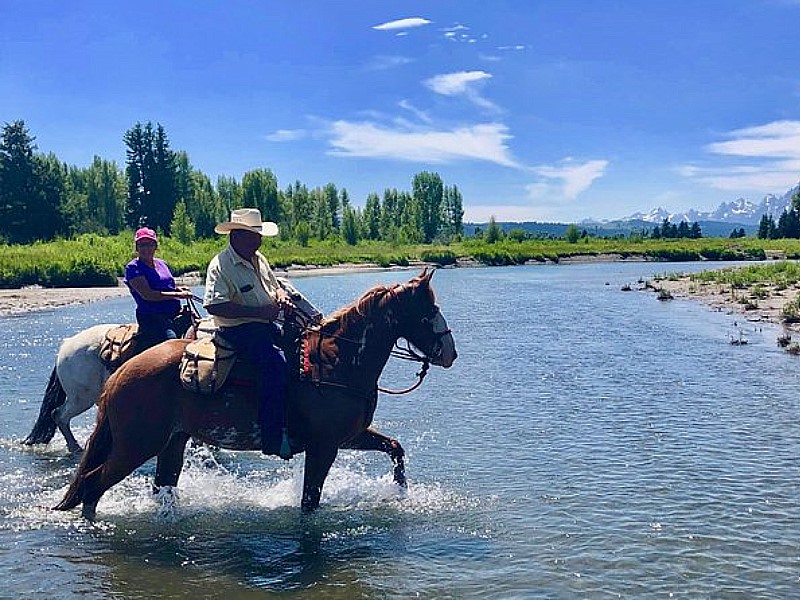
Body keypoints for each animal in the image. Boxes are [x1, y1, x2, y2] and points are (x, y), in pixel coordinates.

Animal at [54, 272, 456, 520]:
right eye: (429, 311)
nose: (450, 353)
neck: (334, 363)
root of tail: (121, 374)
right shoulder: (324, 446)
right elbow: (309, 501)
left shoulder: (349, 437)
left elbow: (395, 449)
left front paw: (400, 493)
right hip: (136, 445)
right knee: (92, 483)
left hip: (171, 442)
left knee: (158, 488)